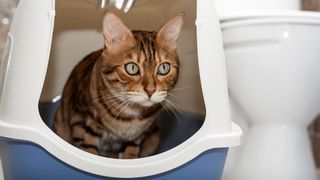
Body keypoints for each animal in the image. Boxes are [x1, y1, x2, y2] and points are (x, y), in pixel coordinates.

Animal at [53, 12, 185, 159]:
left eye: (164, 68)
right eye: (132, 68)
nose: (150, 90)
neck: (132, 115)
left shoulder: (135, 138)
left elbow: (130, 155)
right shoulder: (82, 125)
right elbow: (89, 151)